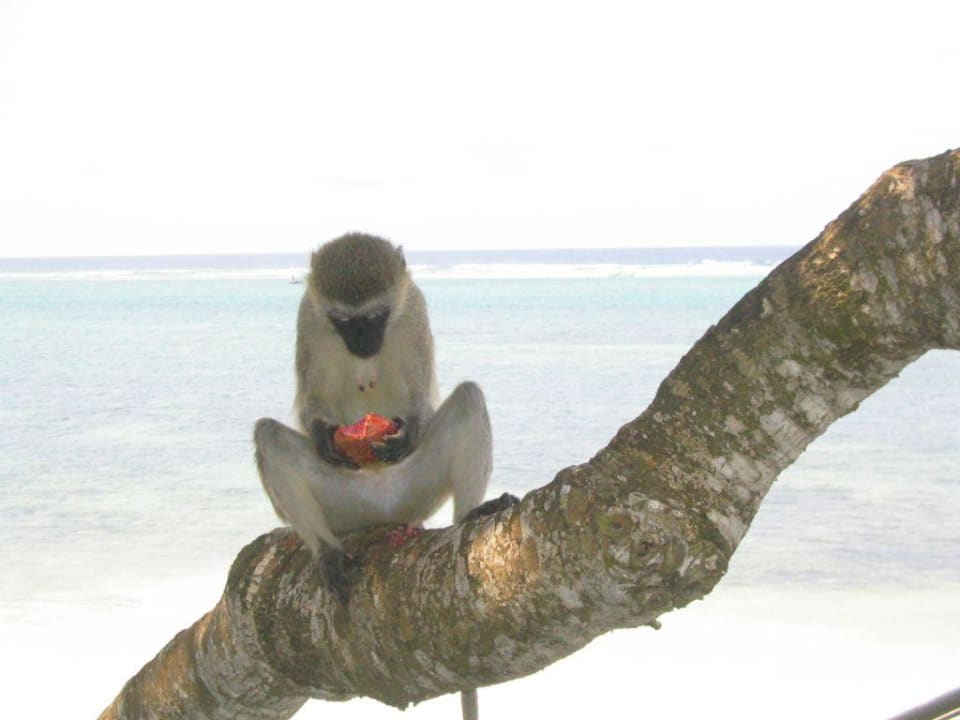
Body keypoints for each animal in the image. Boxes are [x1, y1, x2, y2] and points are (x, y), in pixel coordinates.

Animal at [254, 233, 516, 720]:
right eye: (343, 321)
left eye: (375, 318)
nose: (362, 344)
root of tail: (385, 512)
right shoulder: (310, 319)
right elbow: (309, 405)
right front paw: (322, 435)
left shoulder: (413, 310)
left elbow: (421, 397)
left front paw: (410, 427)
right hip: (345, 506)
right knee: (269, 436)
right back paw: (327, 551)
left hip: (417, 491)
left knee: (469, 398)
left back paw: (472, 515)